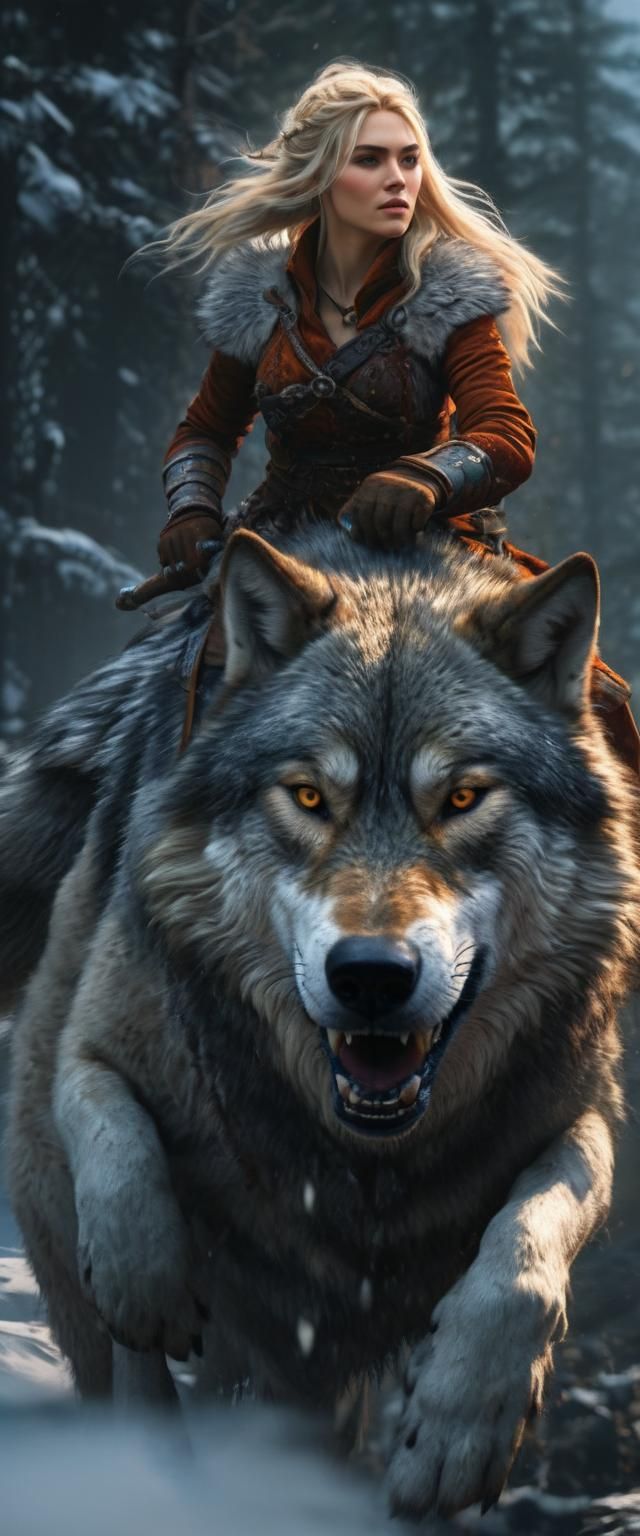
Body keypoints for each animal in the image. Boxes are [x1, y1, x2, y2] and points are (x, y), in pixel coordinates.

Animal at [4, 521, 640, 1519]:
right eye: (308, 797)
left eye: (463, 798)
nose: (372, 976)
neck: (361, 1154)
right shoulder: (95, 1037)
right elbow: (110, 1125)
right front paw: (146, 1275)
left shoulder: (582, 1112)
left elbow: (525, 1259)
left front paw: (456, 1434)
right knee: (135, 1385)